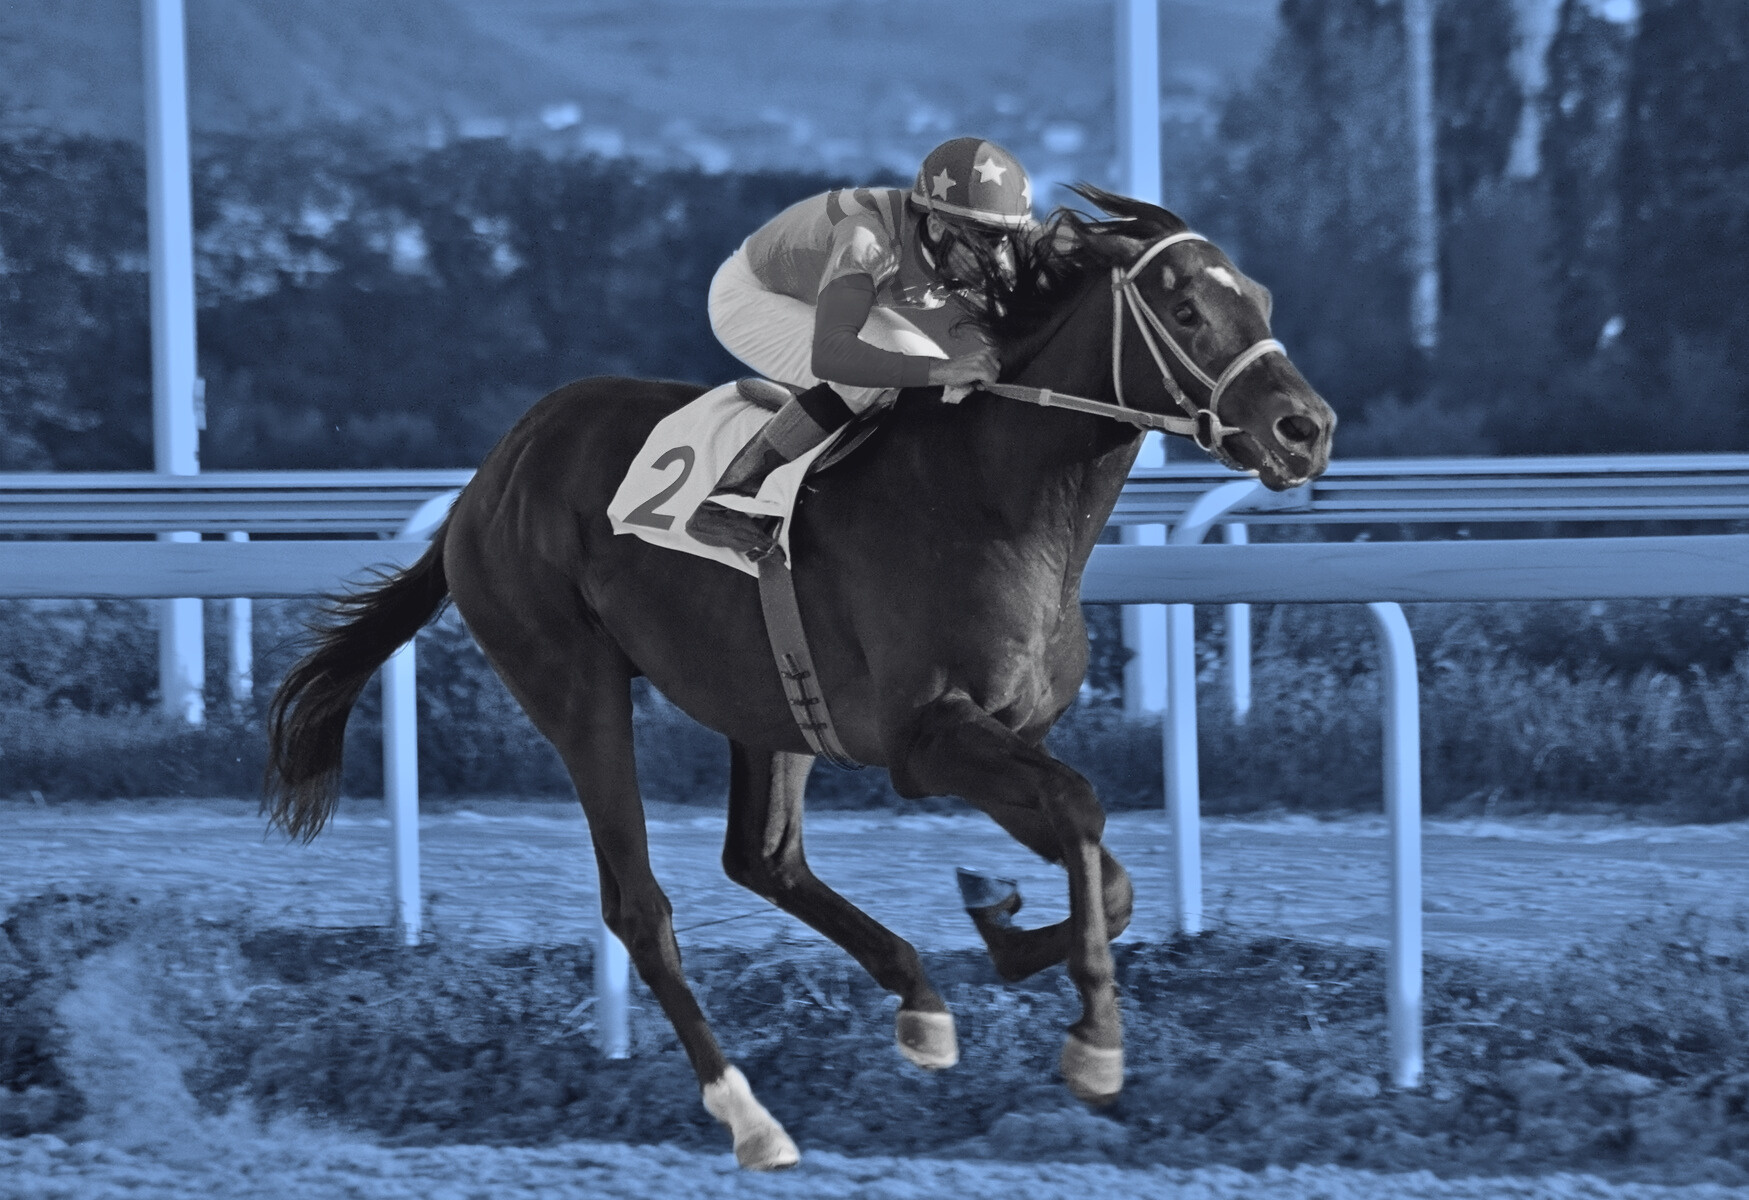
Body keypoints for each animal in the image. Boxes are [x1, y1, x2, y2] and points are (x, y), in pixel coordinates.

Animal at [264, 186, 1335, 1169]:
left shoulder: (1004, 733)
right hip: (571, 681)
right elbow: (1079, 810)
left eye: (1260, 298)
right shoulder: (924, 739)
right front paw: (1096, 1044)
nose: (1306, 428)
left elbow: (1103, 873)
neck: (993, 501)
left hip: (769, 704)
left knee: (764, 858)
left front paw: (1000, 924)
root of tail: (488, 477)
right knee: (640, 907)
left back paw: (919, 1003)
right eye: (1186, 309)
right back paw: (749, 1116)